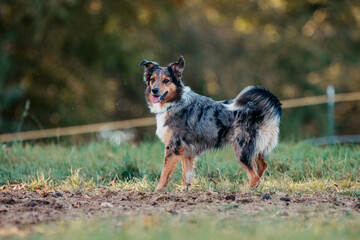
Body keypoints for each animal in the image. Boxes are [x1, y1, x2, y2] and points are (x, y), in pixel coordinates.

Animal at [139, 55, 282, 190]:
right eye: (152, 80)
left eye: (166, 81)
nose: (154, 90)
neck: (175, 103)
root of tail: (257, 109)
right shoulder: (186, 153)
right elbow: (186, 177)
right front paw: (184, 192)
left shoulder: (173, 148)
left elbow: (164, 175)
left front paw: (157, 191)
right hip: (254, 149)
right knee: (262, 166)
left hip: (242, 150)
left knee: (254, 176)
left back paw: (246, 192)